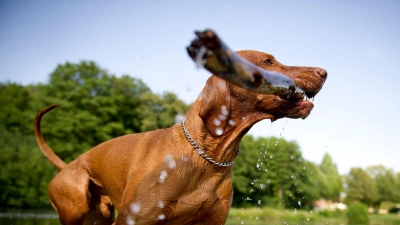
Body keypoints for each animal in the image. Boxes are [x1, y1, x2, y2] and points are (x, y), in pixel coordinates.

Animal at [35, 50, 328, 224]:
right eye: (267, 61)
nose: (323, 72)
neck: (207, 155)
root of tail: (69, 165)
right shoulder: (135, 219)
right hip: (75, 209)